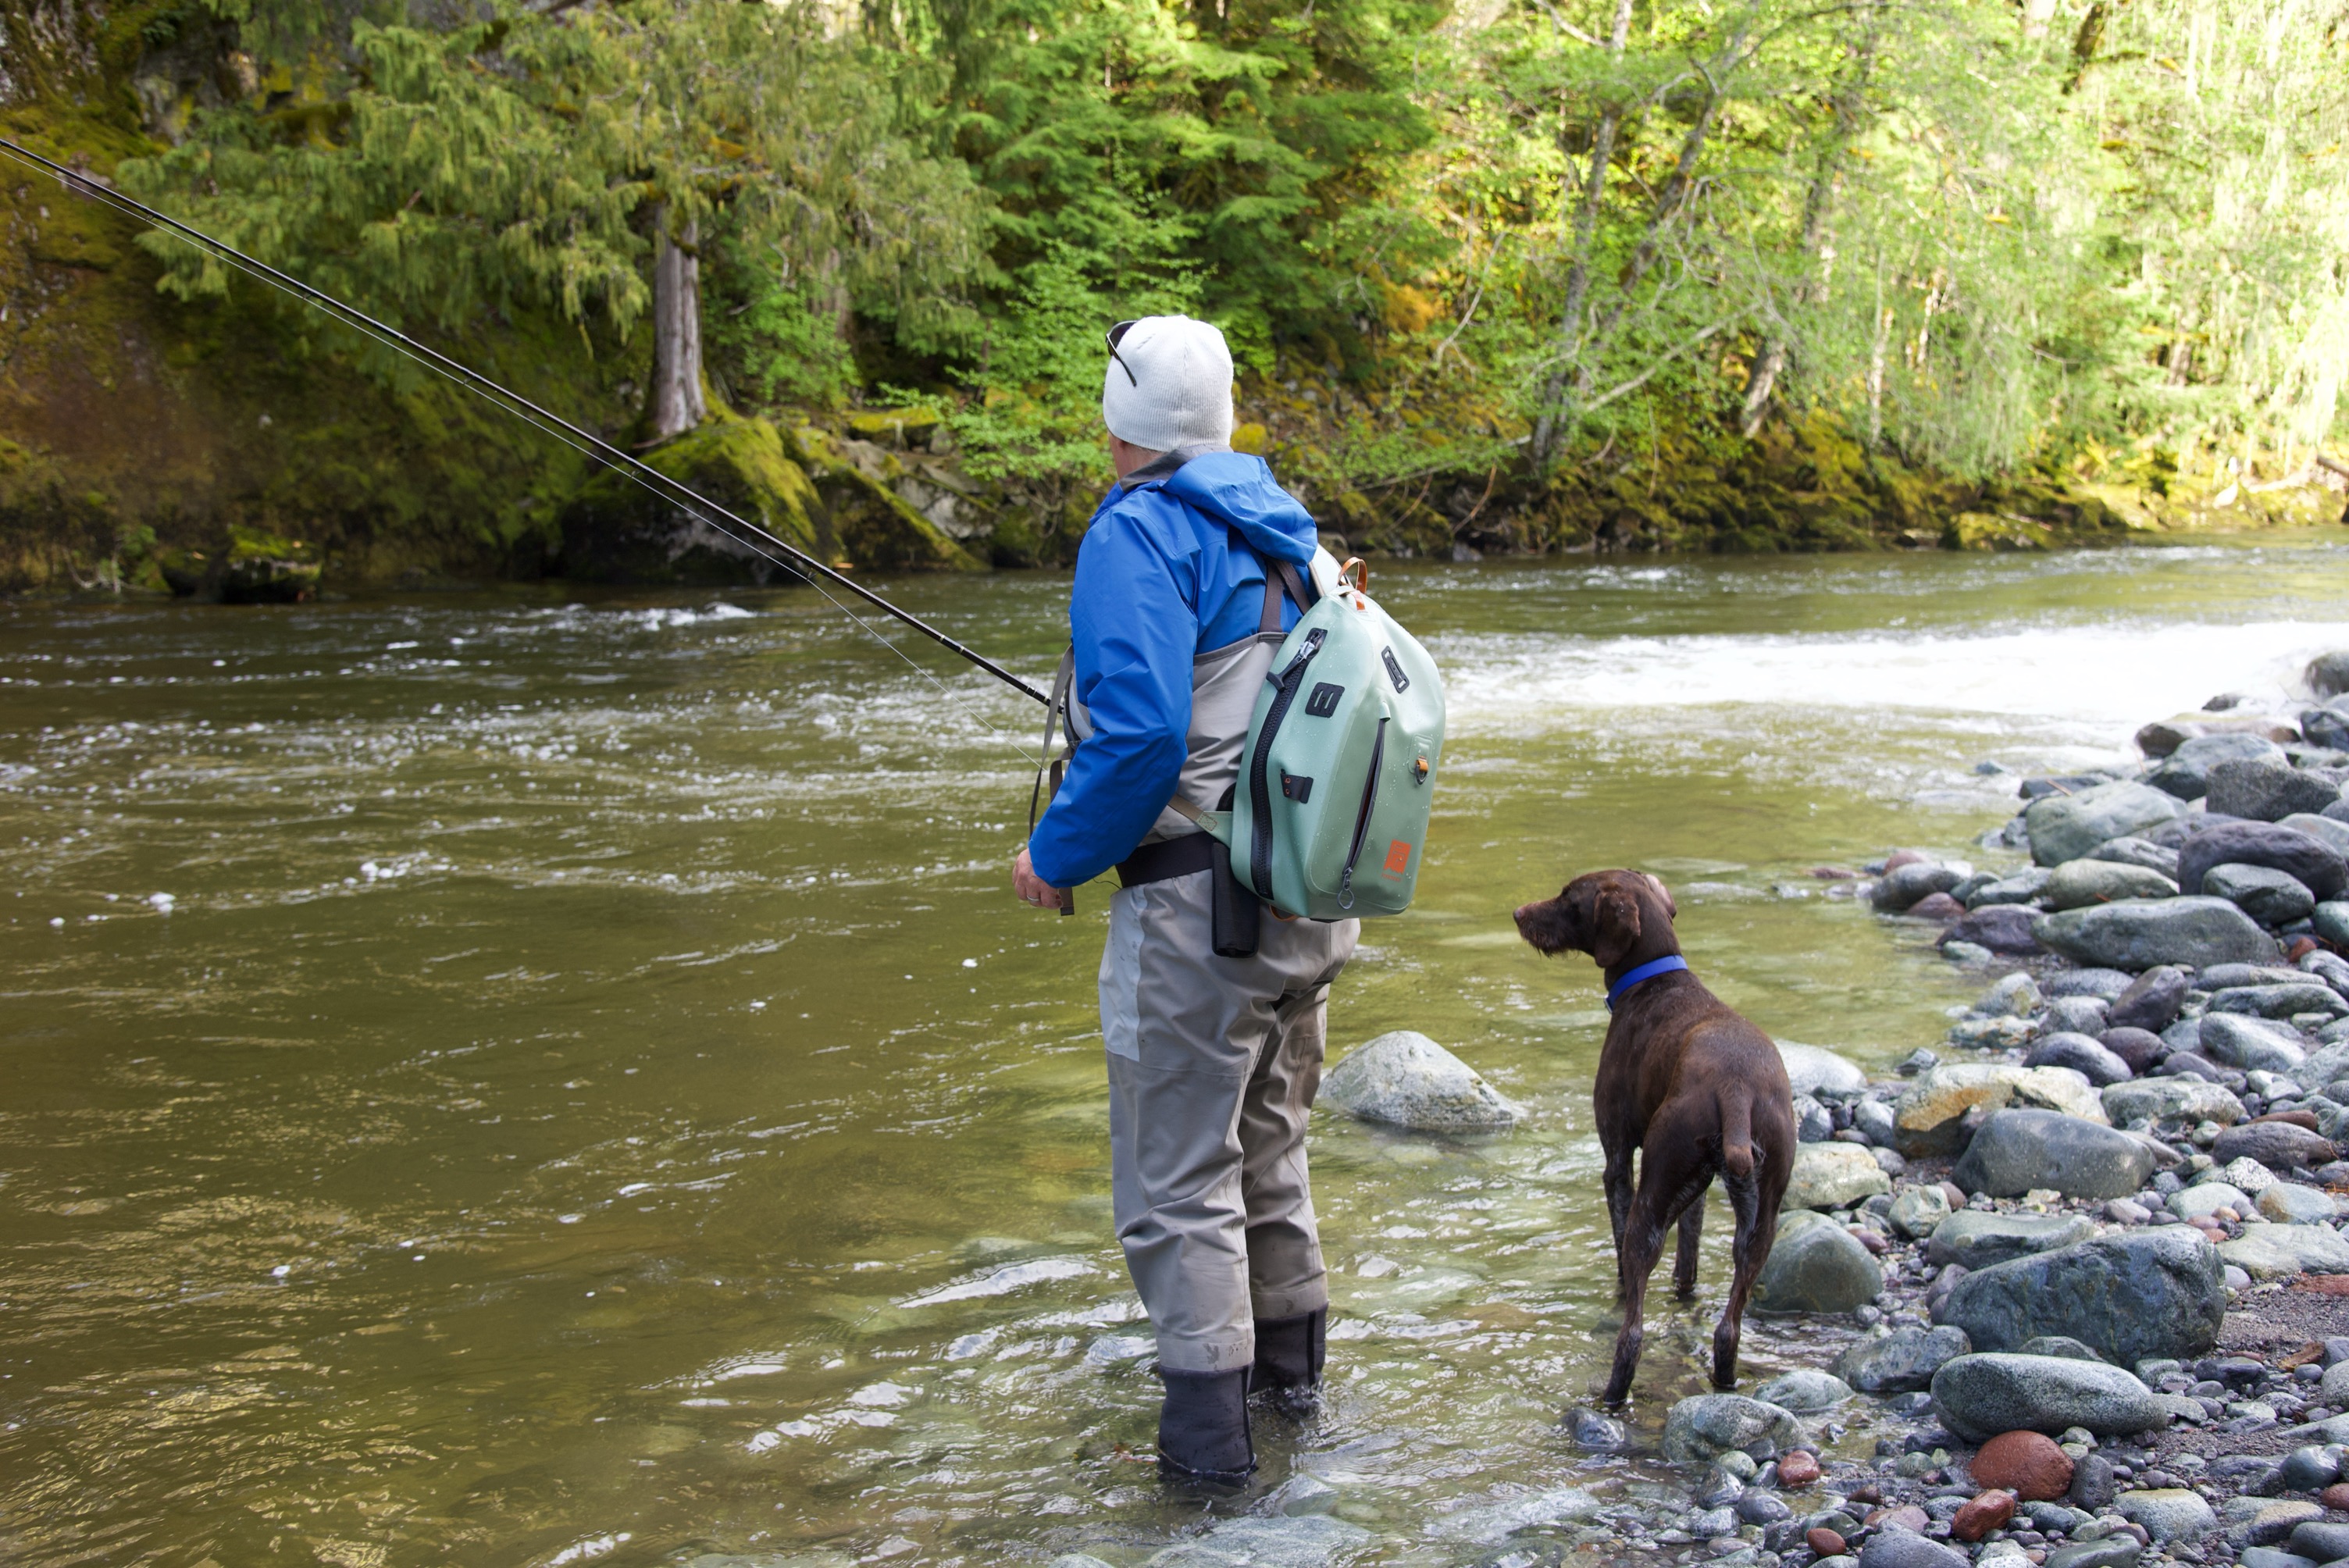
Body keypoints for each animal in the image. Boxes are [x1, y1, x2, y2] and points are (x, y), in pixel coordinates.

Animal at [1513, 868, 1785, 1408]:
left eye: (1568, 896)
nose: (1517, 913)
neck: (1654, 980)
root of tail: (1736, 1088)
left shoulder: (1618, 1160)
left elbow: (1620, 1256)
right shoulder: (1698, 1190)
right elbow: (1689, 1259)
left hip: (1652, 1201)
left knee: (1632, 1334)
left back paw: (1612, 1396)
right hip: (1758, 1223)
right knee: (1728, 1330)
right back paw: (1724, 1382)